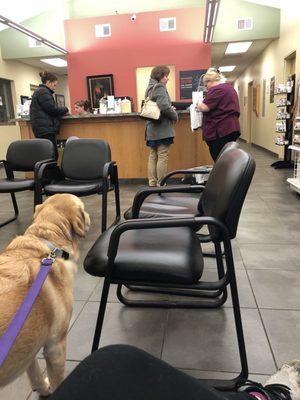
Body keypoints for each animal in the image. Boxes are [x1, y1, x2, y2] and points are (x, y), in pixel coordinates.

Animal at [0, 194, 90, 396]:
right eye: (83, 207)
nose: (88, 216)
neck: (46, 240)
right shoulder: (55, 346)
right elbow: (57, 380)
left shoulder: (28, 346)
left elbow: (33, 370)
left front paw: (41, 388)